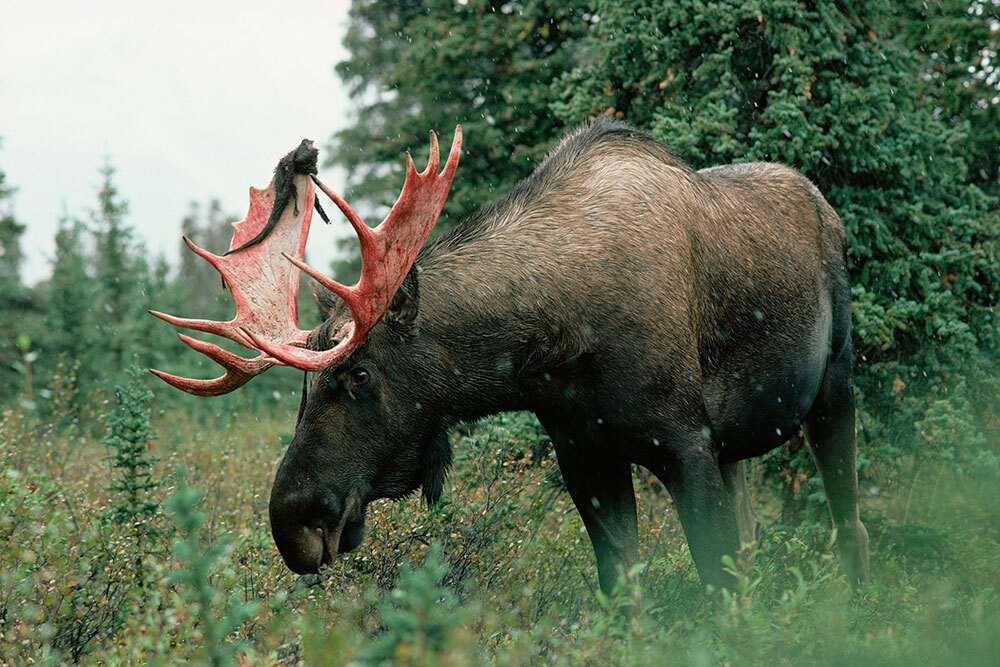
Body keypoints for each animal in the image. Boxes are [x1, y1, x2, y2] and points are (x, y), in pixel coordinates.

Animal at [148, 121, 868, 596]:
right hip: (736, 448)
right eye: (301, 391)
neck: (553, 348)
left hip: (833, 381)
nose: (293, 521)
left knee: (847, 518)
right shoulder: (586, 453)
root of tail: (825, 205)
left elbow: (714, 585)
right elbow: (622, 585)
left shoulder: (684, 441)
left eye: (358, 373)